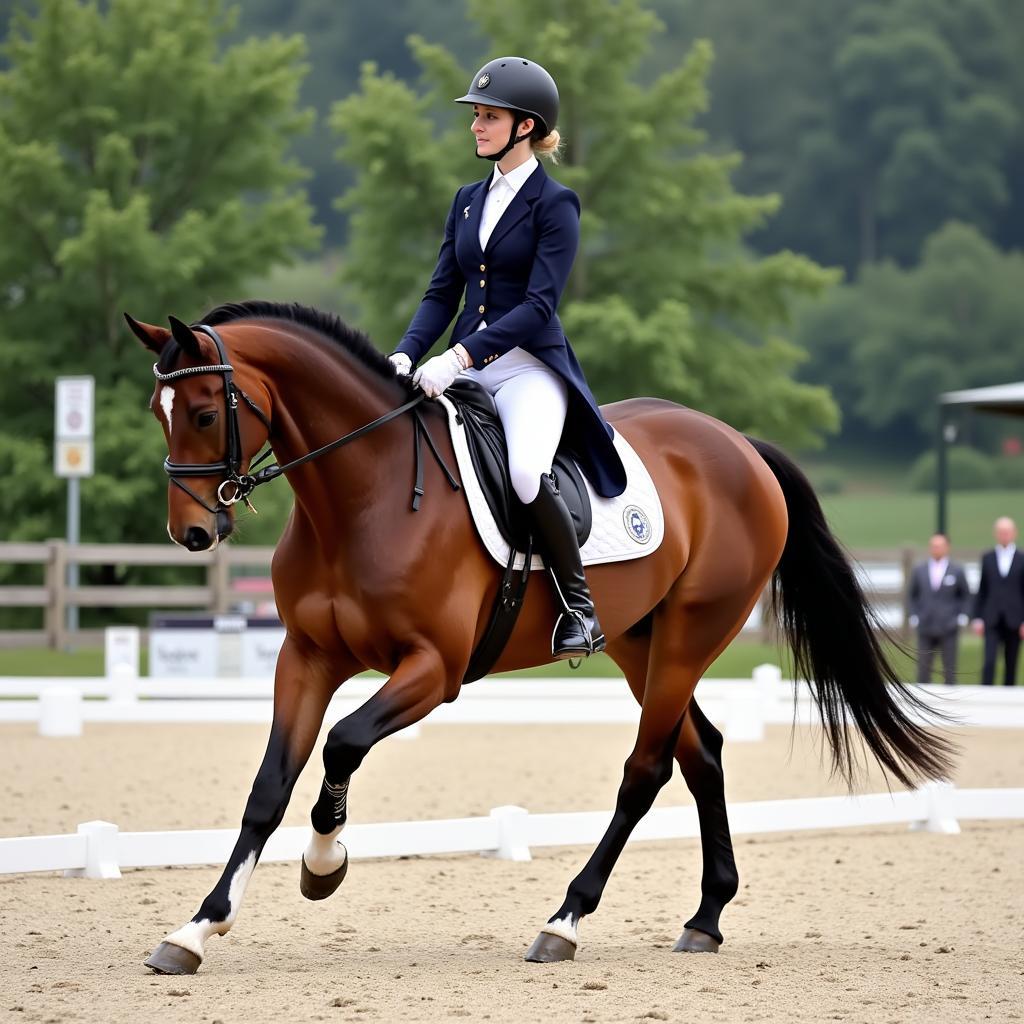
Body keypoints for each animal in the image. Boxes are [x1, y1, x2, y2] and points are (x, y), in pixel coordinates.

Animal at [125, 301, 950, 974]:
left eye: (204, 412)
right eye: (158, 413)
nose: (193, 532)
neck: (363, 493)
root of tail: (738, 445)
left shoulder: (433, 670)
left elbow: (344, 743)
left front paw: (325, 863)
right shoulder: (307, 657)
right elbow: (268, 788)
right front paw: (195, 929)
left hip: (691, 633)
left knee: (646, 771)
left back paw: (565, 920)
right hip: (640, 642)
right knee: (702, 753)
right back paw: (705, 919)